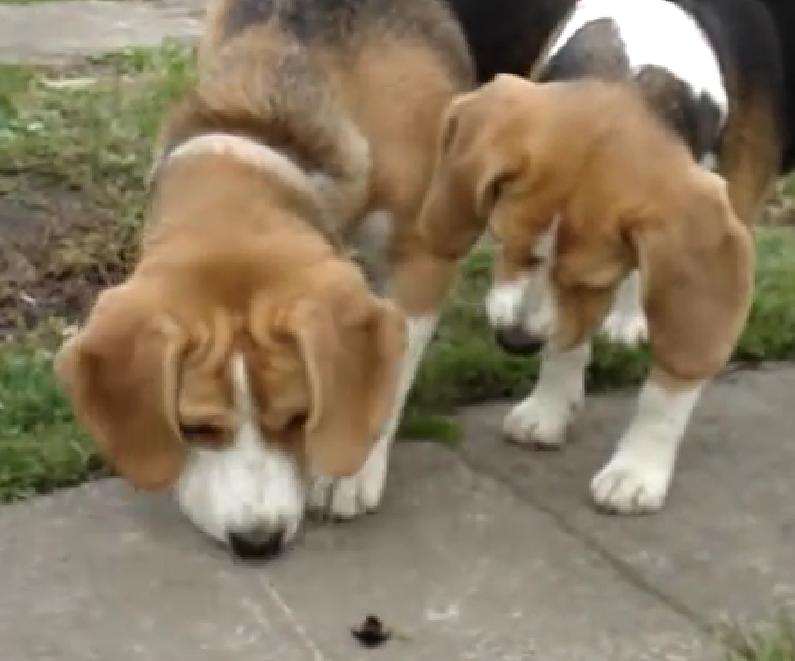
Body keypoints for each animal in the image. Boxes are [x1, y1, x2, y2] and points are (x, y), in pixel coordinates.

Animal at [420, 0, 792, 516]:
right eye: (502, 239)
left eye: (590, 281)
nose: (515, 343)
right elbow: (568, 339)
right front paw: (550, 407)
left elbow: (668, 383)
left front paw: (637, 469)